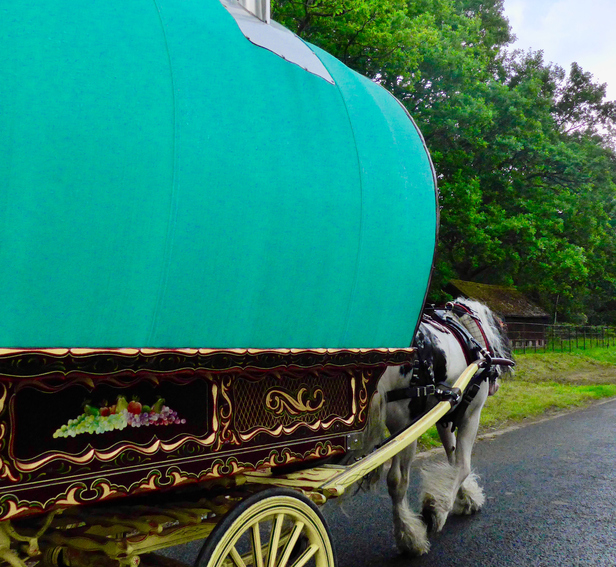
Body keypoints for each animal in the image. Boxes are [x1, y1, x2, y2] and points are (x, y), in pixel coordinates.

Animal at [368, 300, 512, 556]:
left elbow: (453, 459)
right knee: (397, 481)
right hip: (406, 428)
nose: (495, 381)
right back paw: (409, 536)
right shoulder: (470, 416)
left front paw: (465, 497)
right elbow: (463, 465)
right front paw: (437, 509)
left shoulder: (444, 415)